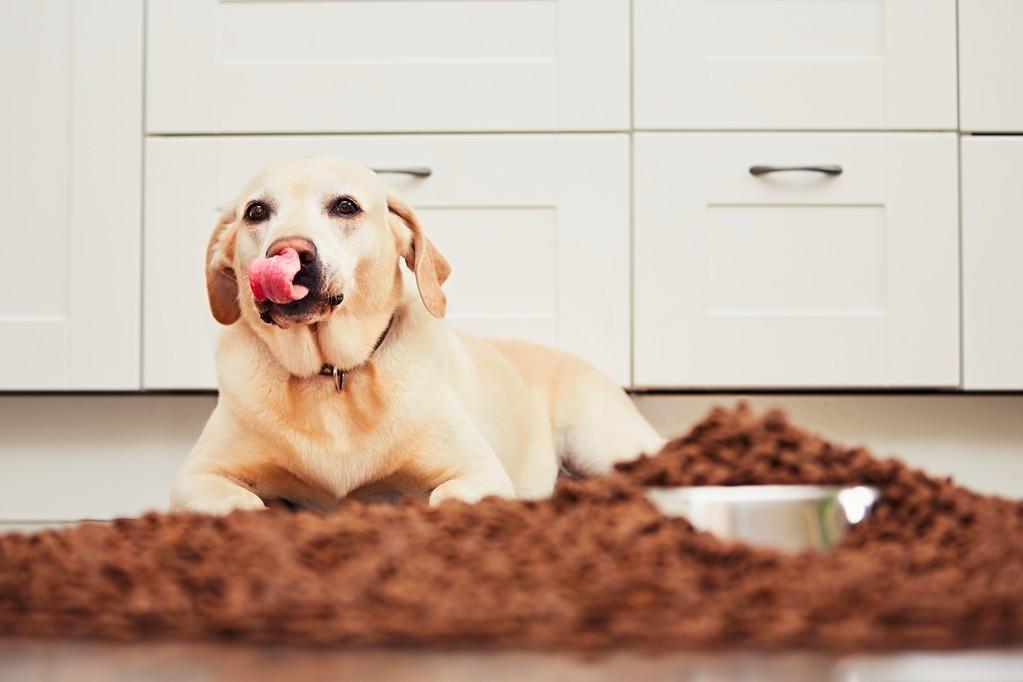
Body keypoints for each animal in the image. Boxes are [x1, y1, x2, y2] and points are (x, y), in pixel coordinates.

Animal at [169, 157, 662, 515]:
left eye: (345, 206)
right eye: (256, 212)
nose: (289, 251)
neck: (333, 374)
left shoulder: (478, 472)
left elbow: (442, 498)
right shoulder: (196, 478)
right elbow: (245, 505)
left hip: (602, 442)